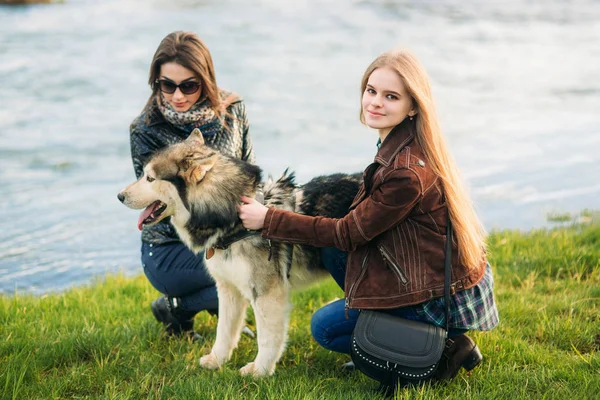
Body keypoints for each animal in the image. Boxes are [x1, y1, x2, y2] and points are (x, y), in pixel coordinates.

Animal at [118, 130, 360, 376]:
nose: (119, 196)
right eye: (143, 175)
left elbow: (267, 338)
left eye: (149, 179)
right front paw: (217, 360)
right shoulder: (228, 288)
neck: (233, 219)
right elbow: (224, 330)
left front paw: (260, 370)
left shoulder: (267, 293)